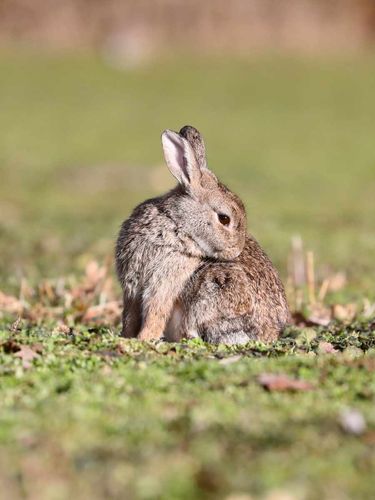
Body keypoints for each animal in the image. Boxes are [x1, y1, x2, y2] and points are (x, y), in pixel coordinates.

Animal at [115, 125, 290, 344]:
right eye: (224, 219)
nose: (236, 251)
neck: (176, 222)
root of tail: (270, 332)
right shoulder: (132, 288)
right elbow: (130, 316)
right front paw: (128, 337)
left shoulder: (164, 283)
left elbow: (156, 313)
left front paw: (144, 338)